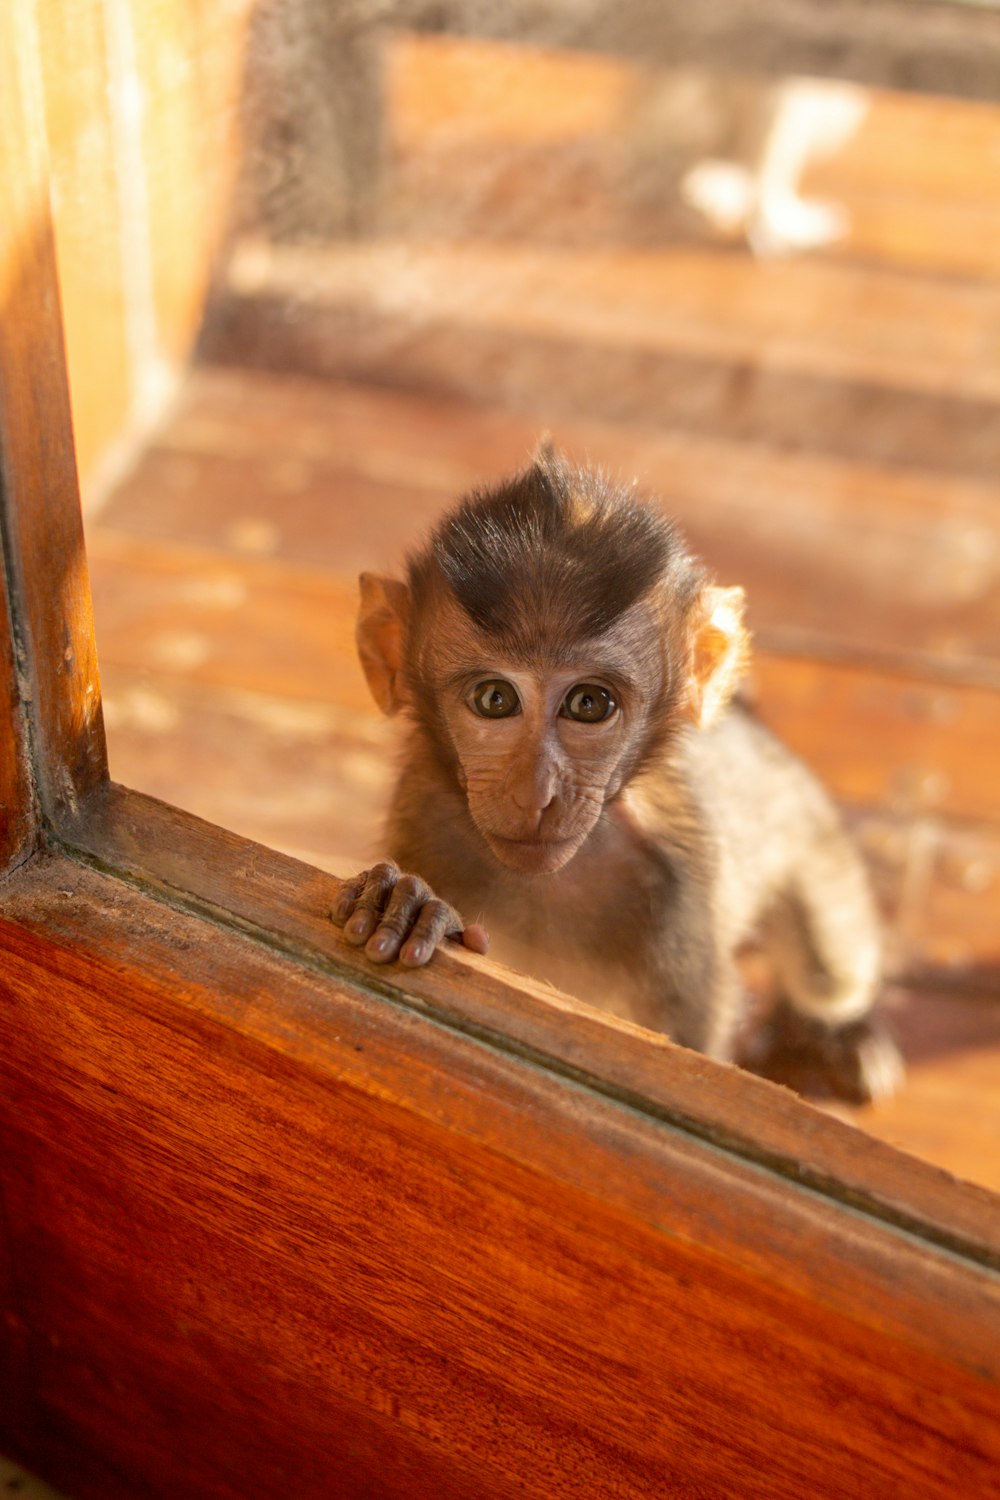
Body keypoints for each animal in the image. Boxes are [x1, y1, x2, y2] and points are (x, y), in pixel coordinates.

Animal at [335, 444, 905, 1104]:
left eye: (589, 704)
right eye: (495, 699)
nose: (535, 795)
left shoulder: (679, 901)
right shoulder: (421, 819)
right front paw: (412, 905)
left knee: (828, 972)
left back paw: (835, 1031)